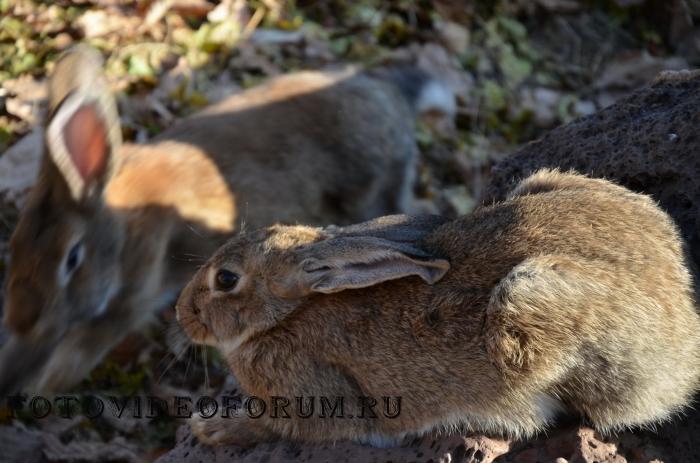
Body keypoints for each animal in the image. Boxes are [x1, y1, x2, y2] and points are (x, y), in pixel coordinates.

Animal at [0, 44, 454, 396]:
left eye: (72, 259)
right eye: (16, 246)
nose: (23, 318)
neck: (122, 230)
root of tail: (391, 96)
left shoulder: (131, 296)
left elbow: (87, 344)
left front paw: (43, 385)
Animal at [176, 171, 700, 450]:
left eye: (226, 280)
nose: (183, 315)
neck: (288, 314)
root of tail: (682, 301)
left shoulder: (318, 402)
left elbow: (272, 424)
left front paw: (211, 426)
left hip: (527, 303)